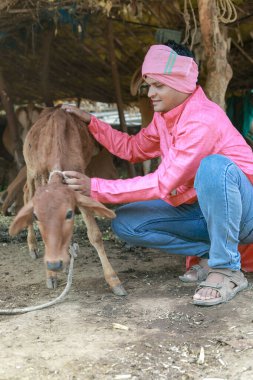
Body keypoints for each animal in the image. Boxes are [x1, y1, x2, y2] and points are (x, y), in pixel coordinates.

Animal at [9, 107, 126, 296]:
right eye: (36, 216)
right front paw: (50, 275)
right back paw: (32, 245)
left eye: (69, 214)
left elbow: (95, 234)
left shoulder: (78, 176)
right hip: (30, 169)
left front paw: (114, 280)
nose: (54, 263)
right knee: (27, 192)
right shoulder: (41, 175)